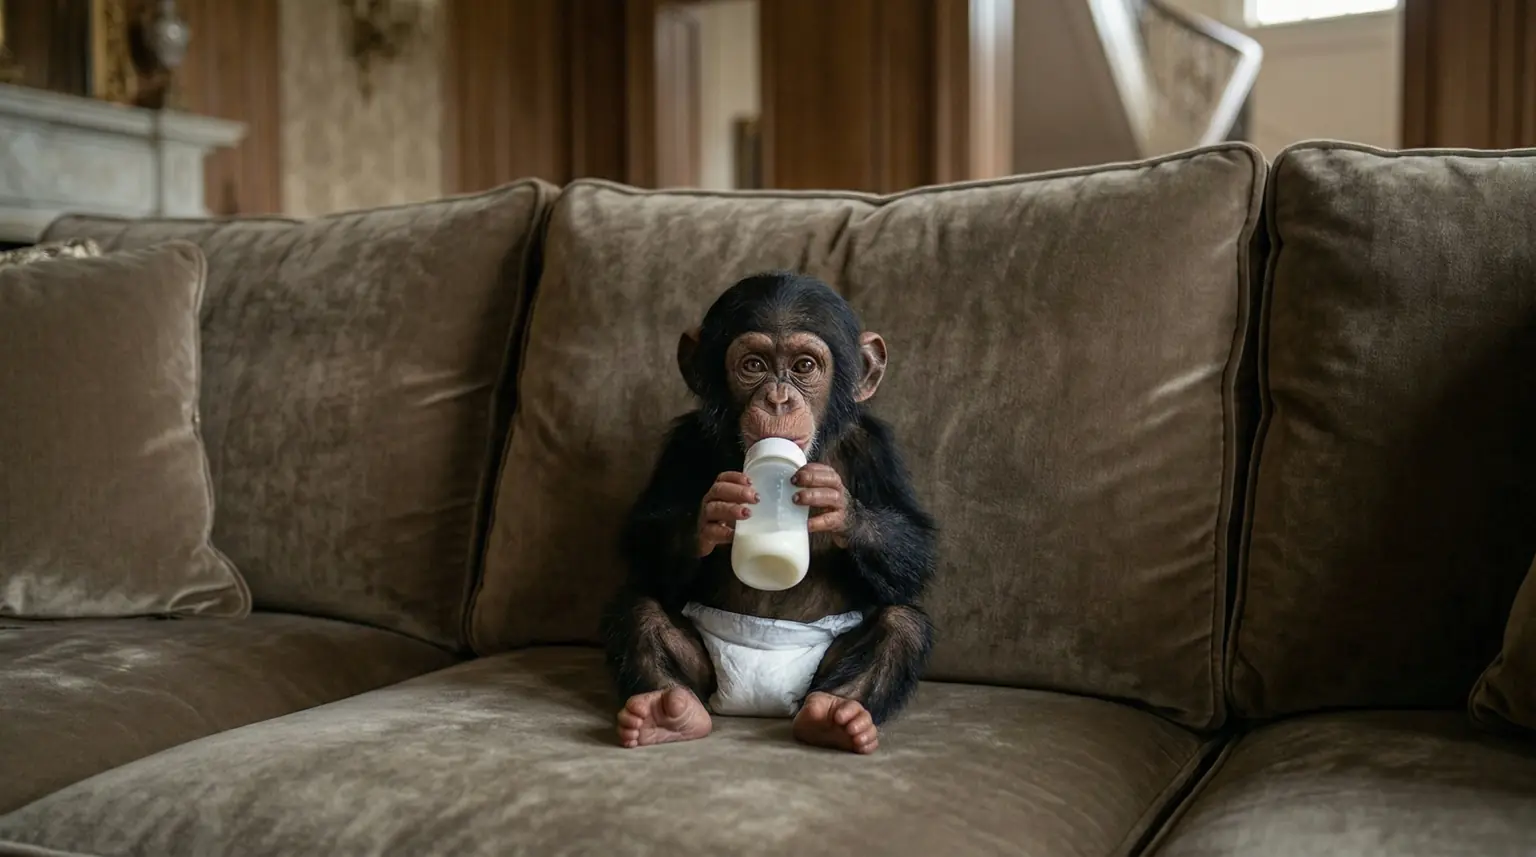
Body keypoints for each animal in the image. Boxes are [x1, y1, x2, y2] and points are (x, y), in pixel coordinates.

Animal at [600, 271, 938, 755]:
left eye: (804, 366)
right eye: (755, 365)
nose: (778, 399)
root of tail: (759, 702)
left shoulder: (876, 447)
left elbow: (914, 542)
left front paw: (837, 506)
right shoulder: (686, 443)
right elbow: (645, 543)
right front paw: (713, 513)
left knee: (902, 626)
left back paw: (837, 716)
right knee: (639, 612)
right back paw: (665, 712)